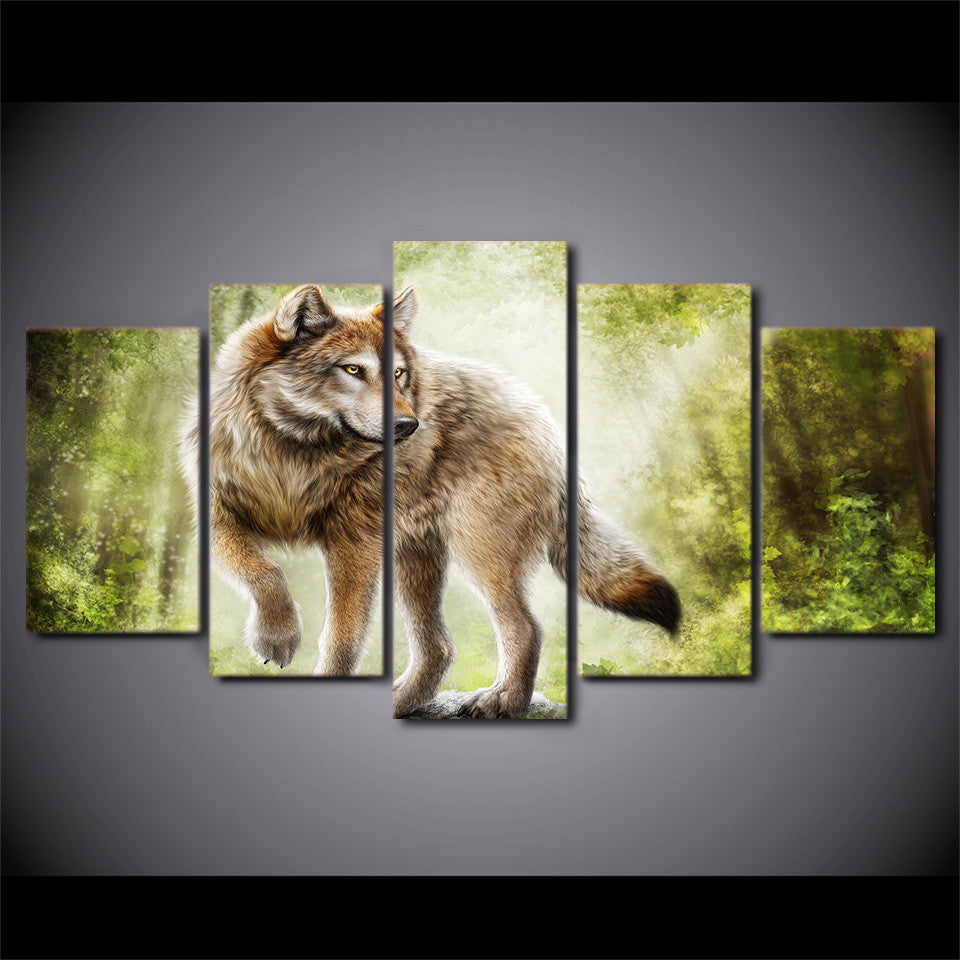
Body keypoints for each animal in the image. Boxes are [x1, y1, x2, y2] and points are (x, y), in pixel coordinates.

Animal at [182, 284, 679, 718]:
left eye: (397, 373)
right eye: (353, 370)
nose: (408, 426)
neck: (292, 454)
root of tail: (546, 422)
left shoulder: (352, 547)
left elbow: (340, 639)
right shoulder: (218, 523)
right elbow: (265, 573)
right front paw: (277, 636)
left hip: (475, 554)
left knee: (526, 630)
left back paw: (503, 701)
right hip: (415, 559)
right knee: (440, 648)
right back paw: (407, 702)